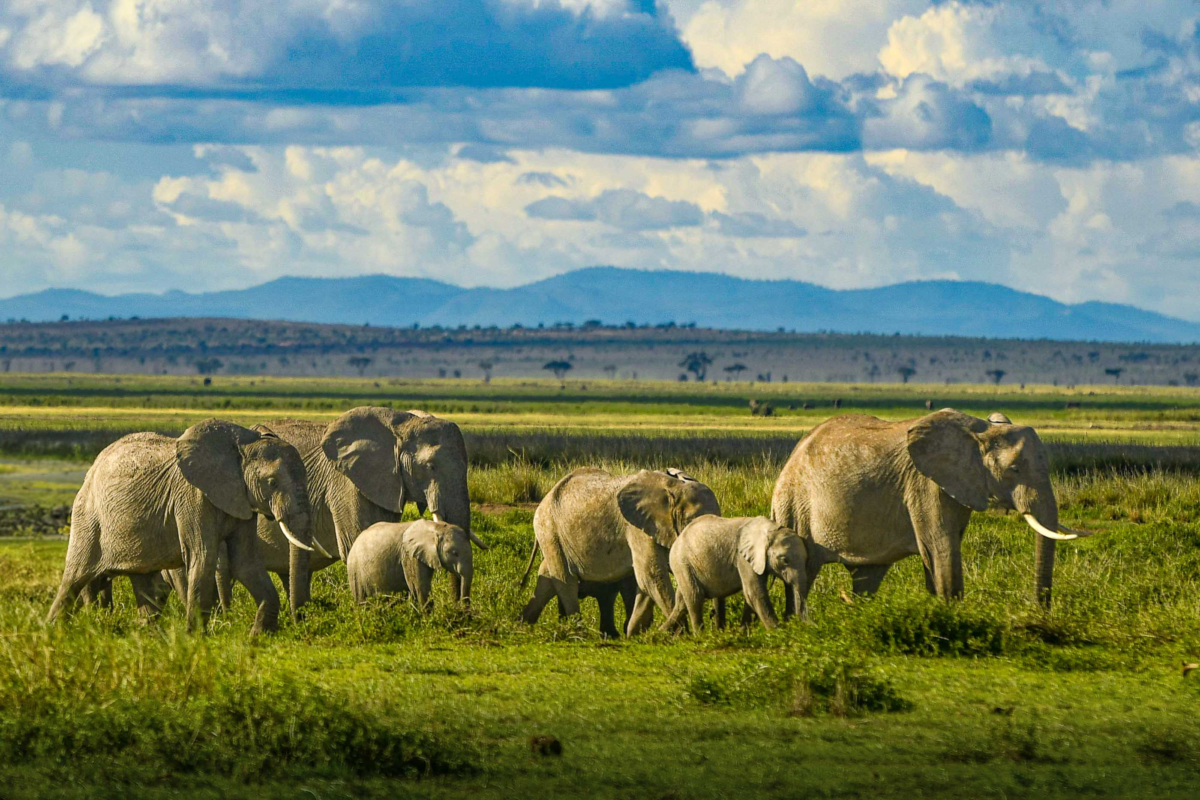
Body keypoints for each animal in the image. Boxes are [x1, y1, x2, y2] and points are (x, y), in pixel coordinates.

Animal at [47, 420, 313, 635]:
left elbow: (245, 562)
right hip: (88, 516)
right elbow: (202, 556)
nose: (298, 622)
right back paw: (52, 633)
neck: (243, 444)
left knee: (145, 584)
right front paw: (194, 640)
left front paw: (257, 637)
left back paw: (146, 635)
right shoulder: (192, 497)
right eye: (272, 482)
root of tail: (90, 470)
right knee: (75, 577)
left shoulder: (241, 500)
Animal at [519, 467, 721, 636]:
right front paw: (679, 635)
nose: (715, 623)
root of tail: (545, 498)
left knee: (548, 578)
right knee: (565, 580)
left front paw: (635, 634)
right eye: (690, 523)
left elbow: (645, 582)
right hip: (550, 531)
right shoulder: (637, 528)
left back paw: (523, 624)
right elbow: (652, 575)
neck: (675, 487)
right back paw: (579, 633)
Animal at [663, 515, 808, 633]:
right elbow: (754, 592)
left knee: (682, 602)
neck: (769, 529)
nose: (800, 625)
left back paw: (660, 634)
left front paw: (742, 632)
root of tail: (677, 539)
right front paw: (778, 632)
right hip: (681, 563)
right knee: (695, 597)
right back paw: (700, 636)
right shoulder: (742, 558)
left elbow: (750, 594)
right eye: (785, 560)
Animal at [771, 409, 1093, 609]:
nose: (1040, 612)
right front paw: (952, 613)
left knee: (866, 577)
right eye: (1014, 470)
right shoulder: (924, 484)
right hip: (794, 504)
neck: (981, 431)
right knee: (803, 572)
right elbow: (940, 546)